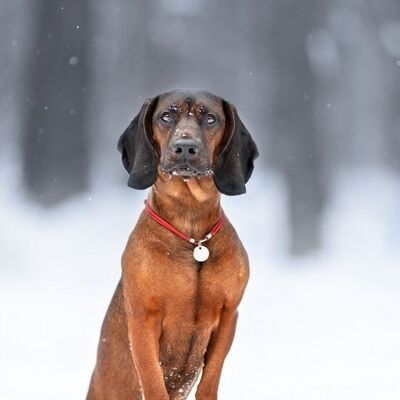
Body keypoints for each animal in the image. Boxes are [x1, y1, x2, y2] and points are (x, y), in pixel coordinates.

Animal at [86, 90, 258, 400]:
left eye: (210, 118)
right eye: (166, 116)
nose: (185, 147)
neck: (192, 235)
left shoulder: (228, 316)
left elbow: (210, 378)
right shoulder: (142, 320)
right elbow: (152, 380)